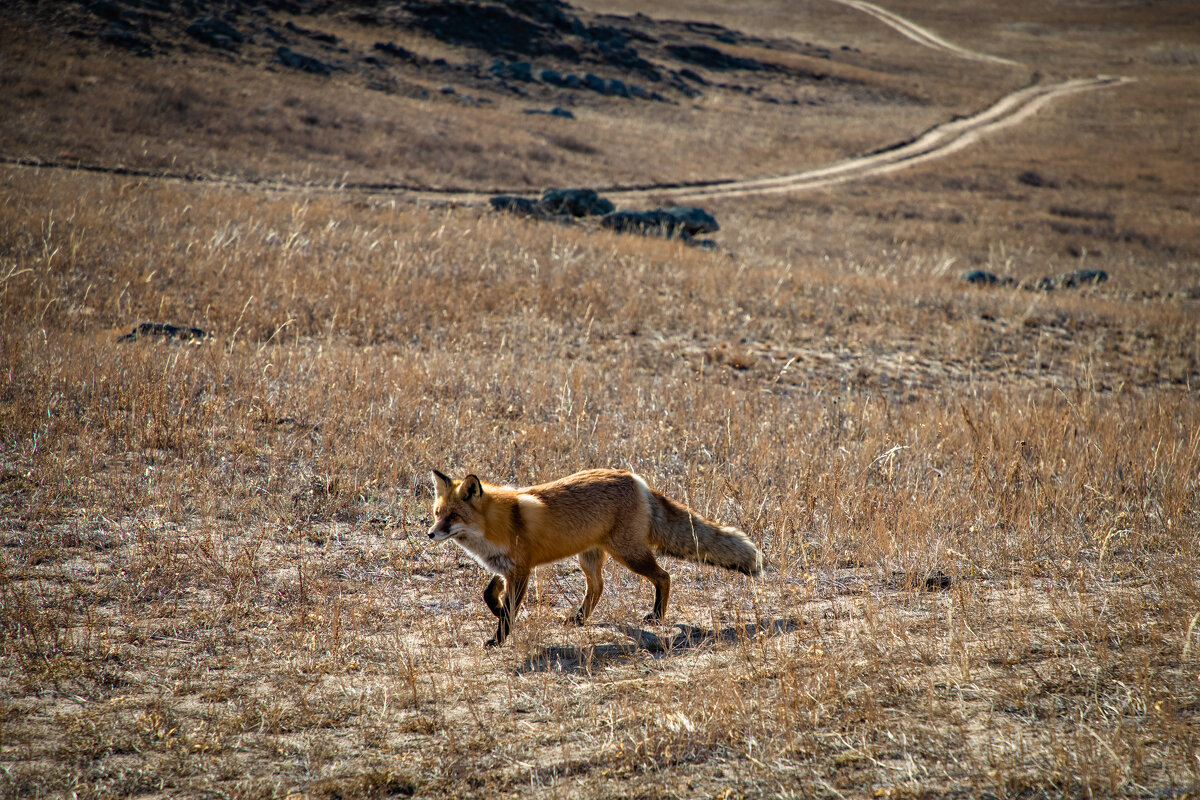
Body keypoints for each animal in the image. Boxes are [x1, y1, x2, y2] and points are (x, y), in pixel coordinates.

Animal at [427, 470, 758, 642]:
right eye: (437, 513)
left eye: (453, 517)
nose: (430, 534)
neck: (497, 524)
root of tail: (635, 478)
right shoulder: (505, 568)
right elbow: (489, 595)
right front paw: (496, 612)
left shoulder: (521, 570)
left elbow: (509, 613)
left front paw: (498, 639)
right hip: (589, 557)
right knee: (598, 588)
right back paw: (579, 618)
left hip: (629, 554)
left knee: (664, 576)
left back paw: (656, 615)